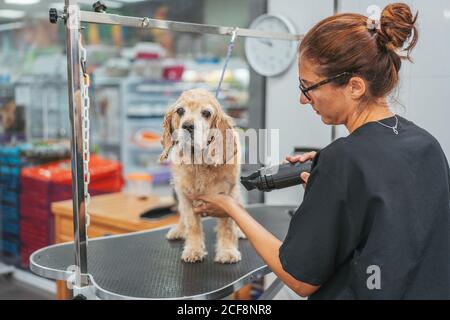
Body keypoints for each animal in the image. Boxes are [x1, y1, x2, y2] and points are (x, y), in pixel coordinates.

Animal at [158, 87, 243, 262]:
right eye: (180, 110)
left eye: (206, 113)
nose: (188, 126)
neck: (200, 163)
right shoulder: (186, 196)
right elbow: (192, 225)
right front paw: (193, 249)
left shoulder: (229, 195)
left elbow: (227, 225)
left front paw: (227, 251)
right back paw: (179, 230)